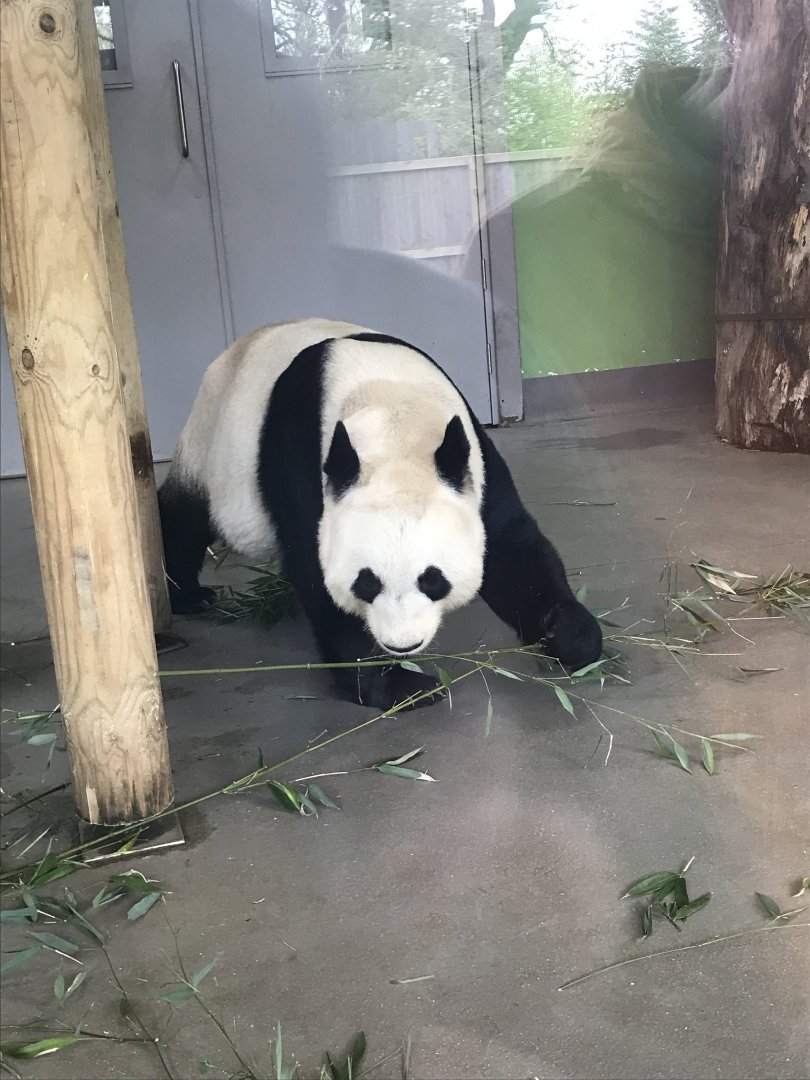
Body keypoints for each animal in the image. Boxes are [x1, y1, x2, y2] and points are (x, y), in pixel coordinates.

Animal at [158, 318, 602, 710]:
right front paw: (398, 686)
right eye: (366, 583)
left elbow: (510, 547)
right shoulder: (303, 460)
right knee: (184, 518)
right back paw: (187, 595)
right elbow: (314, 570)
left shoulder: (473, 461)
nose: (402, 645)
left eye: (433, 579)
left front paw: (569, 635)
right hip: (212, 447)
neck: (394, 420)